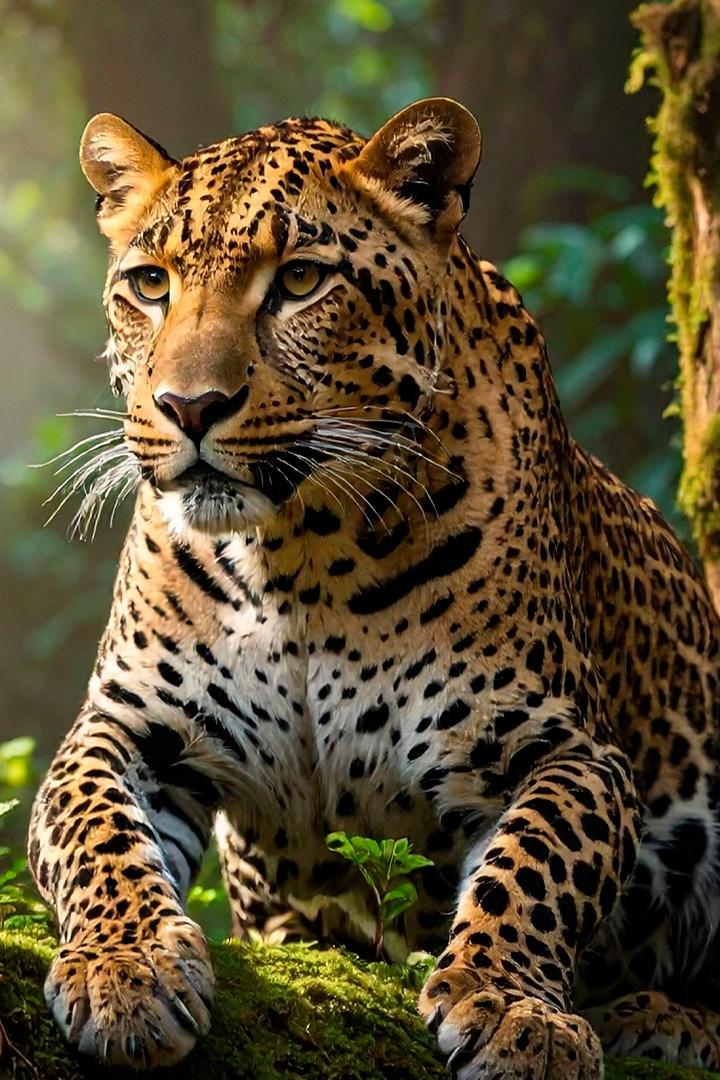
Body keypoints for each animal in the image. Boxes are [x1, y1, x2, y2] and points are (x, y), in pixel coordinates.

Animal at [27, 97, 720, 1077]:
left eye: (301, 279)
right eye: (151, 284)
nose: (188, 407)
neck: (299, 559)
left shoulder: (569, 748)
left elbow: (536, 864)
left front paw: (512, 1008)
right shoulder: (128, 726)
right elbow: (95, 833)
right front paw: (124, 967)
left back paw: (662, 1021)